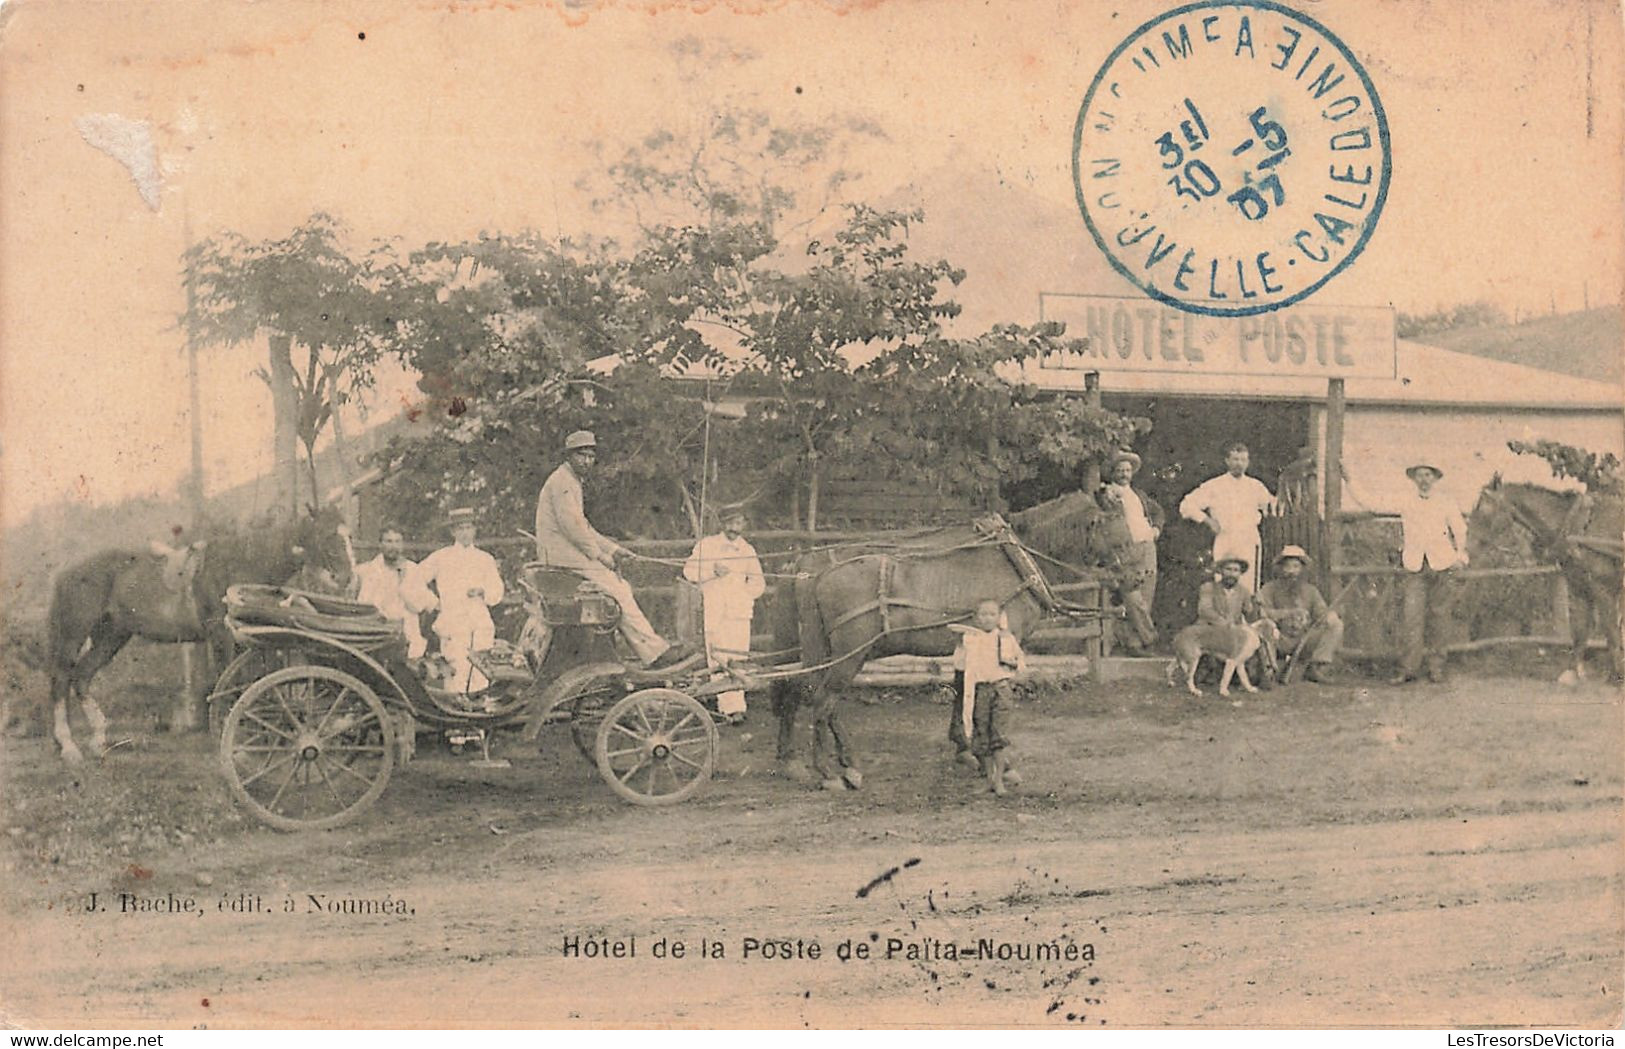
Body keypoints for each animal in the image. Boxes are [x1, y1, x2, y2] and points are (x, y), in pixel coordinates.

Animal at [43, 509, 352, 763]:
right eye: (327, 534)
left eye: (348, 534)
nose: (346, 579)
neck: (241, 560)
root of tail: (65, 572)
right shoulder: (220, 635)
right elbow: (226, 682)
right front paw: (235, 746)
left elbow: (244, 681)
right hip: (74, 635)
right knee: (62, 678)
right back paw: (69, 747)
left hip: (112, 637)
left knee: (82, 675)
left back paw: (98, 740)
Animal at [767, 493, 1111, 789]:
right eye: (1114, 520)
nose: (1126, 578)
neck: (1012, 559)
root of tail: (805, 570)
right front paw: (996, 761)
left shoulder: (966, 644)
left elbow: (962, 691)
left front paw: (967, 750)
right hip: (847, 655)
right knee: (821, 701)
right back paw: (829, 771)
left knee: (796, 690)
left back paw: (803, 762)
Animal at [1475, 477, 1625, 691]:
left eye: (1483, 506)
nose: (1468, 545)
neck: (1577, 525)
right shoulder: (1580, 588)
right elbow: (1580, 631)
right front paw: (1572, 672)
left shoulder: (1602, 589)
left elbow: (1611, 633)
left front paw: (1616, 675)